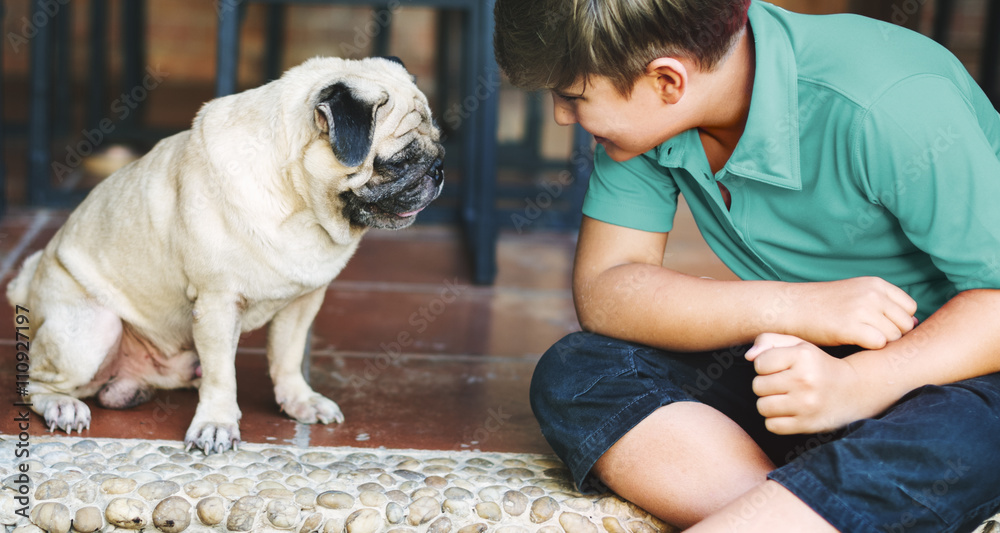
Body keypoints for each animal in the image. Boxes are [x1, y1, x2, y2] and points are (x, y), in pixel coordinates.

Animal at [3, 56, 442, 450]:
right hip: (91, 331)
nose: (438, 170)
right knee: (36, 382)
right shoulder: (217, 302)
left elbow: (287, 358)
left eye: (439, 148)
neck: (299, 204)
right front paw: (216, 423)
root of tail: (29, 283)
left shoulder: (302, 302)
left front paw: (299, 401)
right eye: (397, 162)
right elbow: (221, 377)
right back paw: (63, 406)